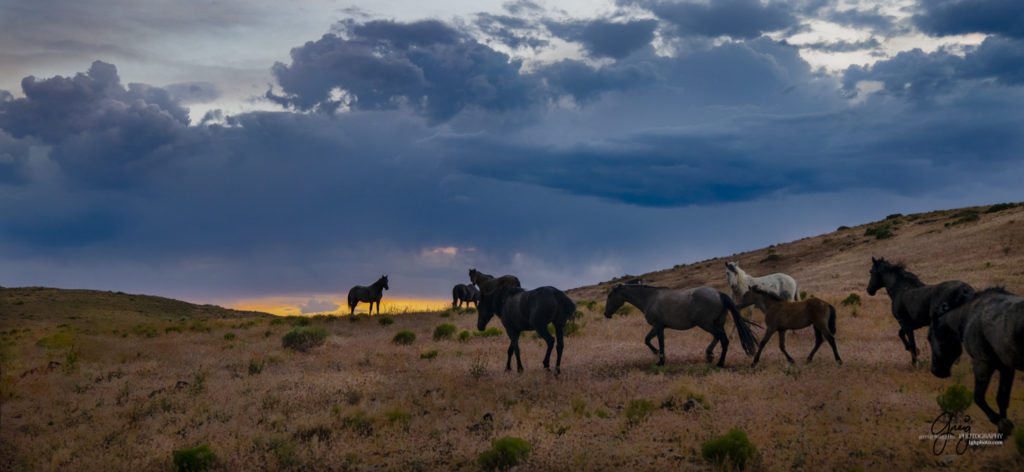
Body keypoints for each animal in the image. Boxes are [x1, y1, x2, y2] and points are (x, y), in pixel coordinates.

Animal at [598, 280, 761, 366]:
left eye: (610, 296)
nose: (606, 314)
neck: (649, 298)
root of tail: (719, 294)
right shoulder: (657, 327)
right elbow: (647, 340)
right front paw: (657, 354)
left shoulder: (659, 327)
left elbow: (660, 343)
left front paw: (661, 360)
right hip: (716, 323)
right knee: (718, 337)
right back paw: (709, 355)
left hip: (706, 324)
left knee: (723, 339)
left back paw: (719, 362)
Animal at [929, 284, 1024, 436]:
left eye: (930, 337)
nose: (935, 370)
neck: (968, 315)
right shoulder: (1007, 369)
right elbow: (1002, 399)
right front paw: (1001, 433)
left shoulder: (982, 364)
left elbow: (978, 398)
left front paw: (1002, 424)